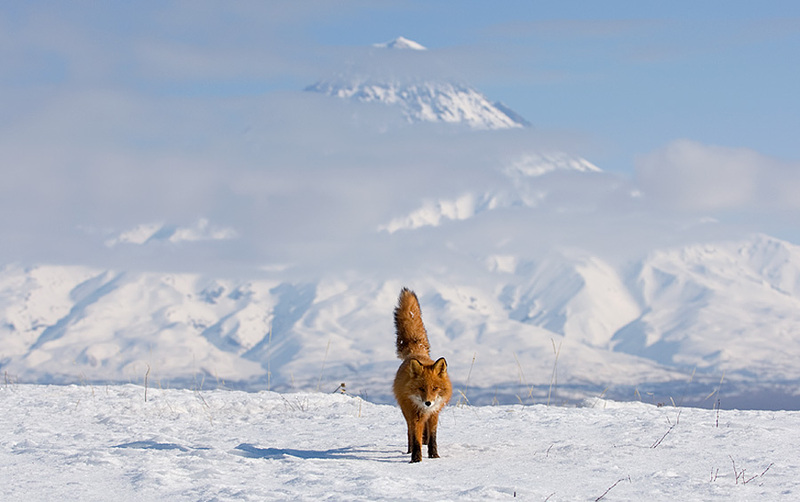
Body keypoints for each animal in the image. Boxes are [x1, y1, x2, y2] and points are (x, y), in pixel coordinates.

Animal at [392, 286, 450, 462]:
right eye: (421, 389)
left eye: (435, 388)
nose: (428, 403)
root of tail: (416, 353)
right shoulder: (415, 414)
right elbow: (416, 438)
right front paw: (416, 459)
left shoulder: (434, 414)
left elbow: (433, 438)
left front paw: (434, 456)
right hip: (406, 412)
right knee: (410, 433)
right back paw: (410, 450)